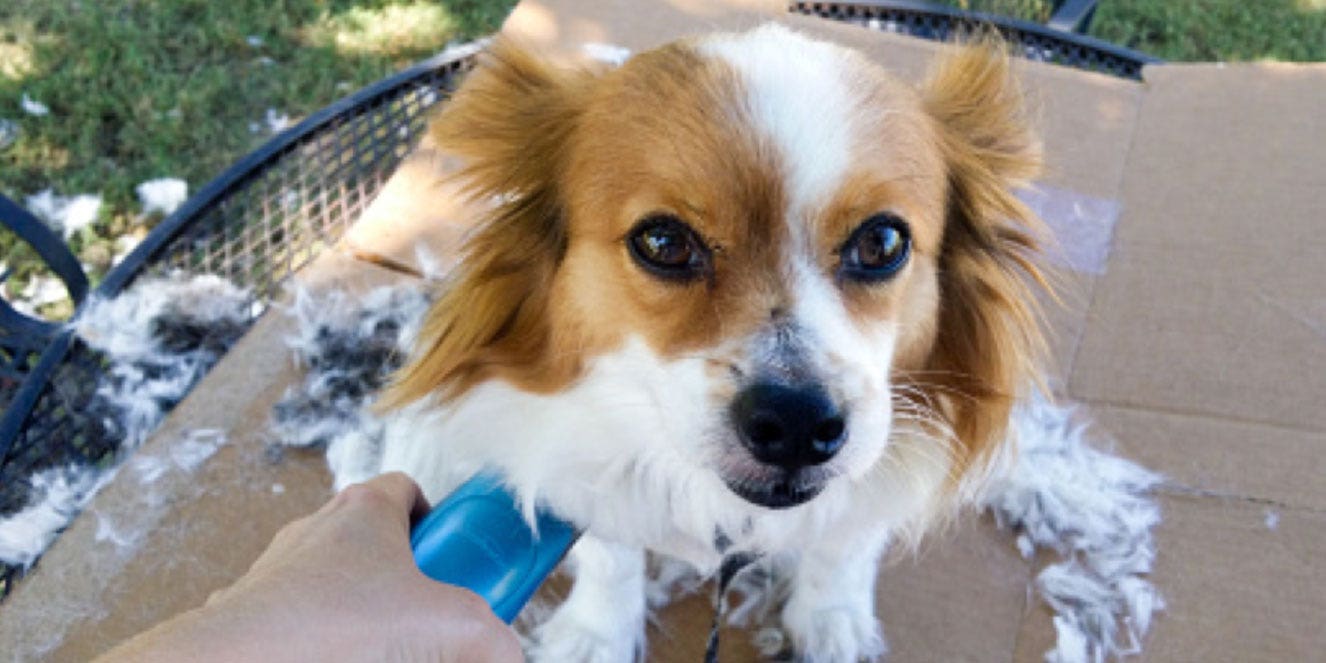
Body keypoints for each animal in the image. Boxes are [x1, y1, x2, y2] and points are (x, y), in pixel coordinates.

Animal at [371, 24, 1044, 663]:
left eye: (882, 242)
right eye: (664, 242)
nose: (796, 423)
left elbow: (846, 540)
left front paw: (830, 616)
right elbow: (610, 550)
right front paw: (596, 634)